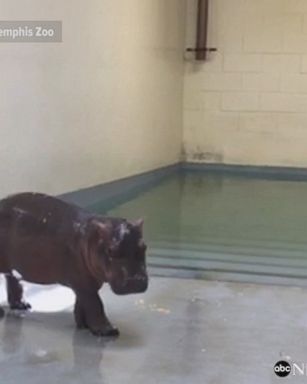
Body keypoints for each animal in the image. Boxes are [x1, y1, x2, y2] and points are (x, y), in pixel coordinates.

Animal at [0, 192, 148, 336]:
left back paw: (22, 306)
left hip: (12, 268)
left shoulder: (84, 283)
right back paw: (2, 313)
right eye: (110, 251)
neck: (89, 239)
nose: (136, 280)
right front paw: (108, 331)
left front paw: (83, 326)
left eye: (144, 247)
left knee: (12, 280)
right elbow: (95, 304)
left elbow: (82, 303)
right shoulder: (83, 282)